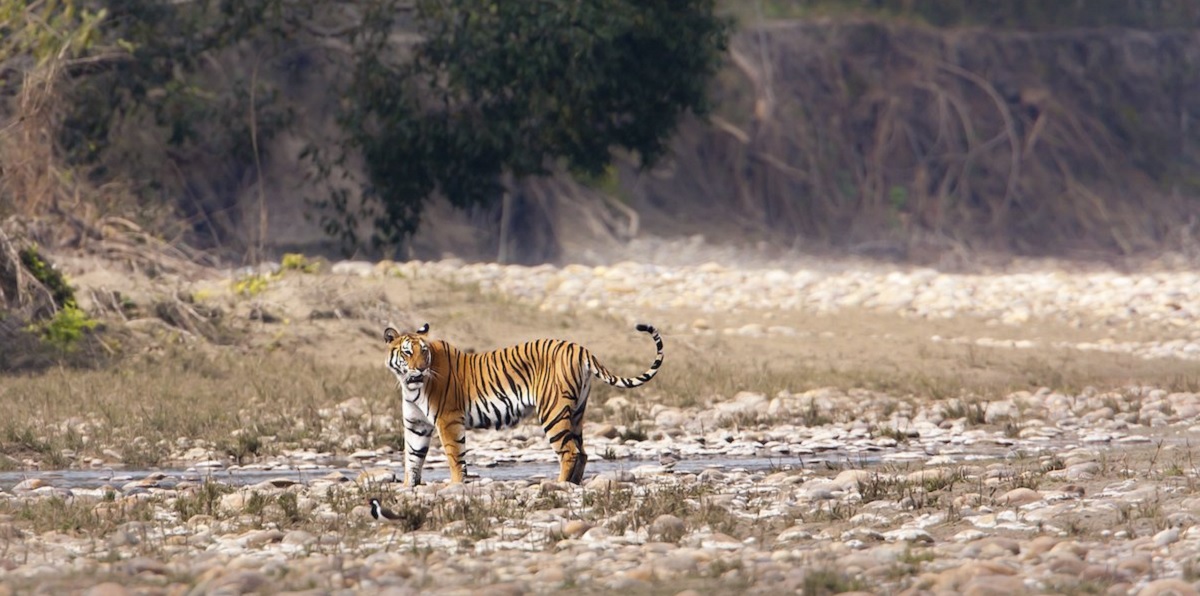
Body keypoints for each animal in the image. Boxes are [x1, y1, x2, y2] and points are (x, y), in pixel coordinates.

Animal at [386, 321, 662, 484]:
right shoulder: (416, 424)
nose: (421, 369)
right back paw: (571, 485)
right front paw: (410, 488)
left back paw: (559, 485)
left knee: (569, 451)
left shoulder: (448, 420)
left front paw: (455, 487)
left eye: (424, 352)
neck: (410, 386)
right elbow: (412, 458)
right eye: (408, 352)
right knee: (582, 452)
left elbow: (455, 457)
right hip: (576, 412)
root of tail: (579, 347)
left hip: (552, 411)